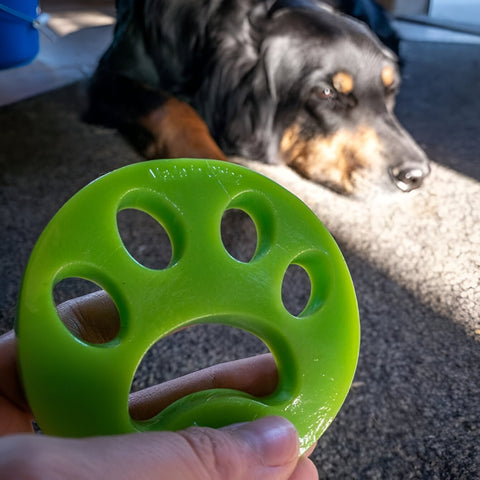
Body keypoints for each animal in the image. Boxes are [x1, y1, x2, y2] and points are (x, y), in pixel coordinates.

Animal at [86, 0, 432, 195]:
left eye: (390, 91)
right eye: (326, 92)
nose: (416, 176)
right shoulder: (107, 76)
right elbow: (169, 106)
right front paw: (205, 161)